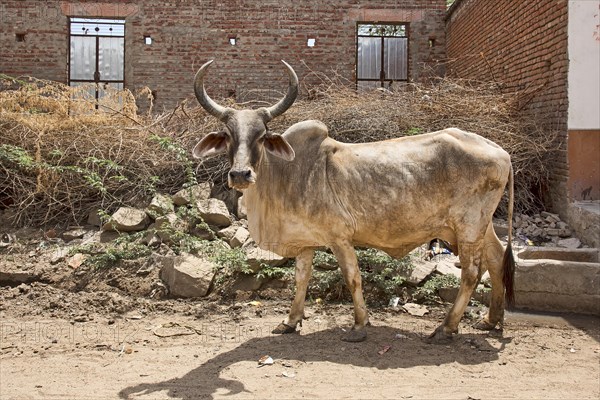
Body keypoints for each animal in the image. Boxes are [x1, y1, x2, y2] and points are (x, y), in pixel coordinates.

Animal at [193, 61, 516, 342]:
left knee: (471, 273)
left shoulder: (340, 237)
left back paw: (446, 328)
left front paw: (360, 324)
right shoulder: (305, 241)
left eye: (261, 136)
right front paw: (290, 321)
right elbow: (301, 278)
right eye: (227, 135)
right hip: (480, 226)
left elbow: (352, 277)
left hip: (468, 227)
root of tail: (500, 150)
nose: (240, 174)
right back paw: (491, 320)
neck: (287, 173)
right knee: (496, 259)